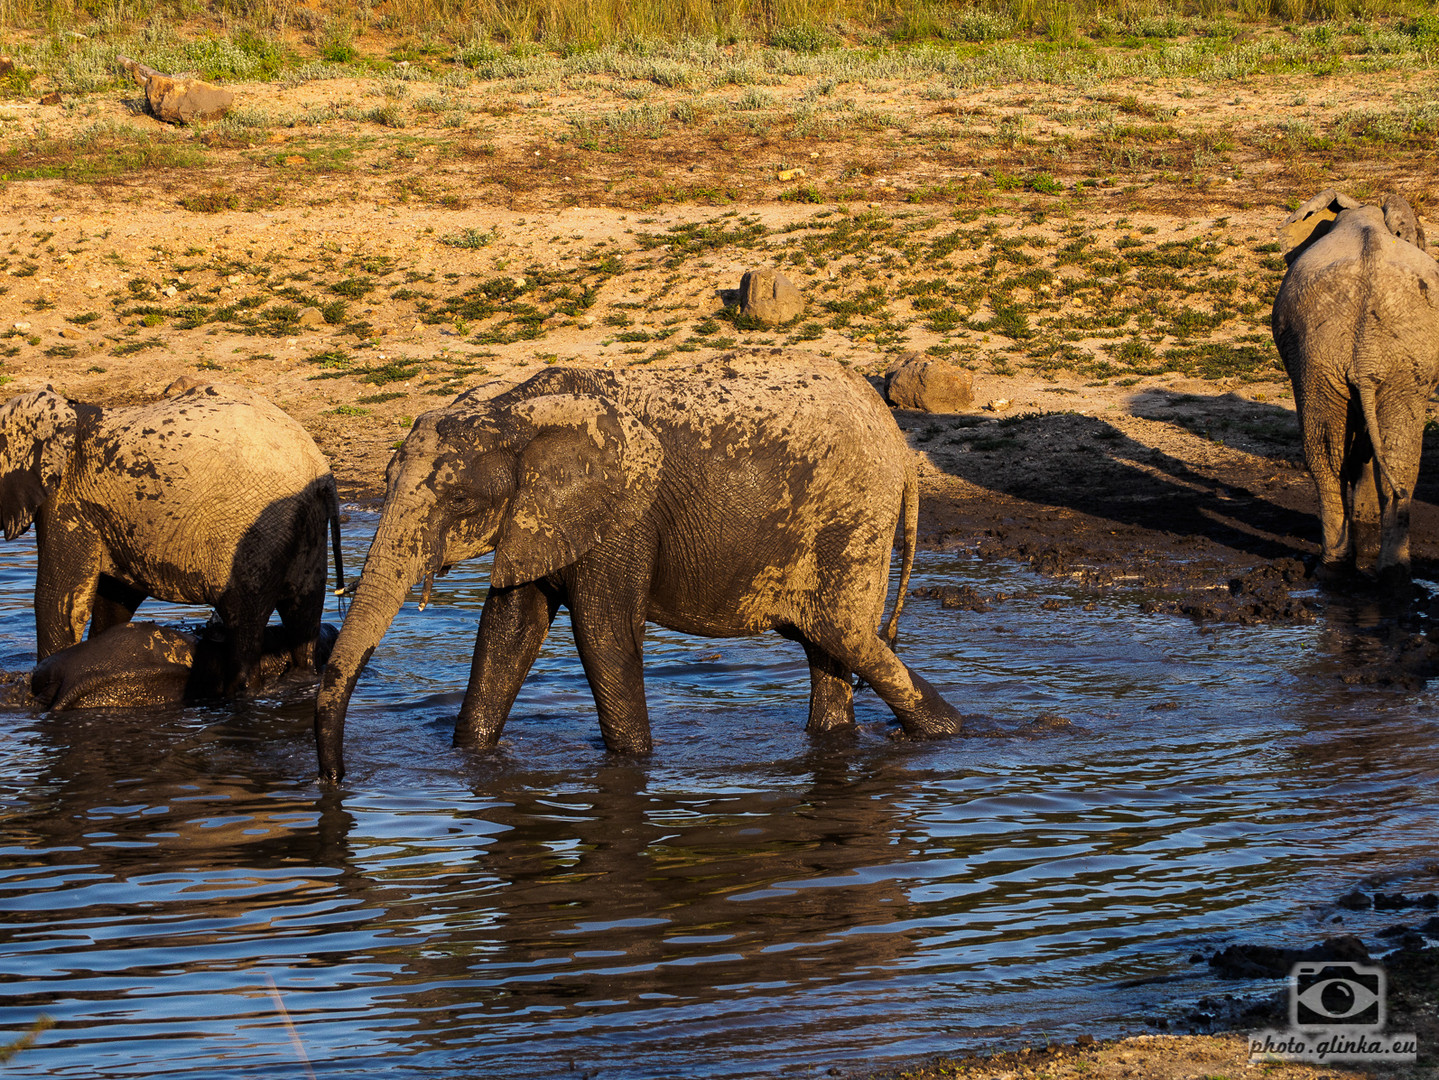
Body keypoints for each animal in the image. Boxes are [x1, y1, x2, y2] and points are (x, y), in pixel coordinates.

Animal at [0, 385, 345, 696]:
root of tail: (321, 469)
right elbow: (115, 597)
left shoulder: (68, 500)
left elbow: (60, 600)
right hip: (307, 526)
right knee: (303, 611)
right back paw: (300, 679)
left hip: (257, 531)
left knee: (244, 621)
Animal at [318, 356, 967, 788]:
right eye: (384, 482)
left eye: (458, 502)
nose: (337, 779)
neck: (516, 408)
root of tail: (901, 446)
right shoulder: (540, 518)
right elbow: (508, 630)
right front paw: (471, 759)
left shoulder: (624, 514)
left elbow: (603, 635)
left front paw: (631, 765)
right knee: (826, 644)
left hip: (852, 513)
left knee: (841, 631)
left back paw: (950, 736)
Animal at [1272, 189, 1439, 578]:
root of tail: (1366, 355)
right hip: (1344, 359)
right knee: (1377, 455)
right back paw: (1378, 570)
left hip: (1331, 358)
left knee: (1340, 456)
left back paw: (1348, 567)